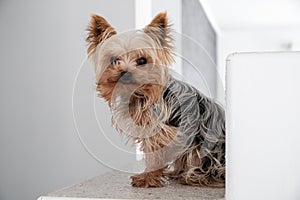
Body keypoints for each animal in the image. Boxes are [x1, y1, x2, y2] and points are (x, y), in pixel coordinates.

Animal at [85, 12, 224, 188]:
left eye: (142, 61)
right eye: (114, 60)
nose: (124, 72)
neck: (139, 95)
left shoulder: (161, 130)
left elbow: (154, 154)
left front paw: (148, 178)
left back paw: (194, 177)